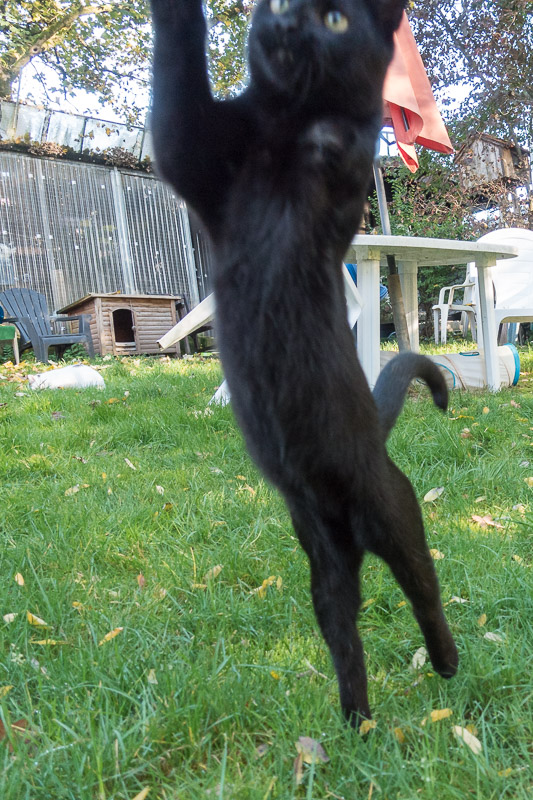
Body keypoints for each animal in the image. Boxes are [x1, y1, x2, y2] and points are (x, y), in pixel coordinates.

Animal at [150, 0, 458, 724]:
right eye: (276, 5)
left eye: (336, 19)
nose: (287, 24)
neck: (277, 125)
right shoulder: (188, 148)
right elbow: (177, 69)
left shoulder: (337, 182)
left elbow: (349, 138)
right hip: (323, 570)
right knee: (346, 640)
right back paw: (356, 724)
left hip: (394, 515)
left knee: (425, 590)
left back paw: (445, 664)